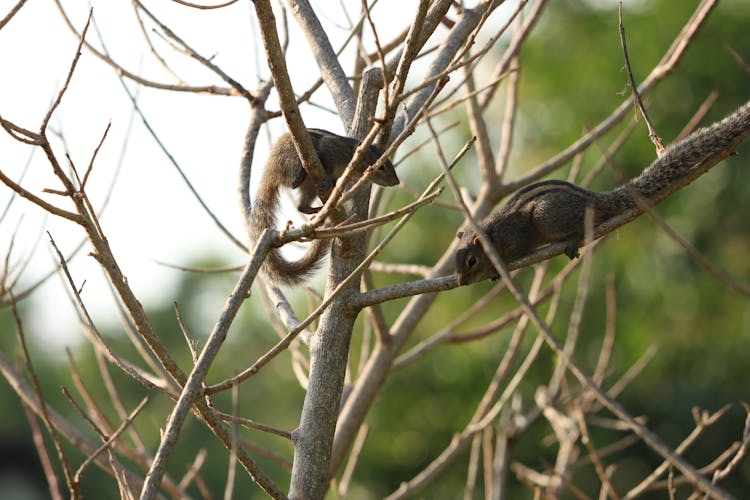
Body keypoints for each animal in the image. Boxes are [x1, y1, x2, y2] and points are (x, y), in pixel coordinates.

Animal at [251, 127, 400, 288]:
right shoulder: (330, 147)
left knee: (301, 207)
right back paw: (302, 176)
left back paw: (321, 212)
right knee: (294, 183)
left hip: (309, 188)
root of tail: (270, 173)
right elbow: (326, 162)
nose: (396, 182)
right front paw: (328, 180)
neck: (350, 155)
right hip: (292, 159)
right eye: (381, 167)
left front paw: (336, 191)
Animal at [456, 99, 750, 286]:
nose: (460, 281)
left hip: (546, 216)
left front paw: (498, 266)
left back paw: (573, 240)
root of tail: (595, 199)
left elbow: (514, 251)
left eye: (471, 261)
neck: (491, 234)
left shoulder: (513, 237)